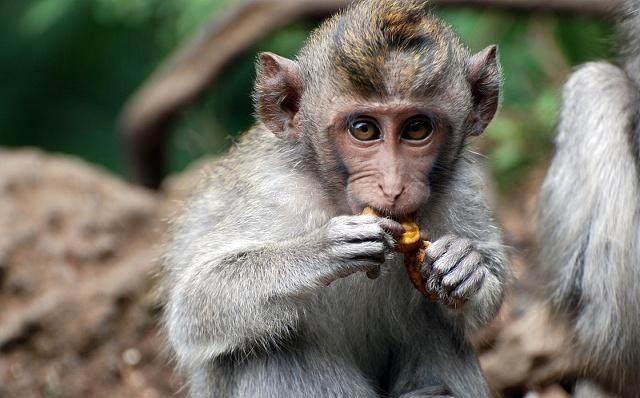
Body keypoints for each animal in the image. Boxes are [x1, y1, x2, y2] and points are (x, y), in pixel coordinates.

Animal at [162, 1, 508, 396]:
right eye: (364, 129)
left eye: (417, 128)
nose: (393, 187)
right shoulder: (278, 192)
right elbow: (195, 303)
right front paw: (324, 249)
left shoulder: (460, 190)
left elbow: (484, 299)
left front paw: (464, 264)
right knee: (268, 350)